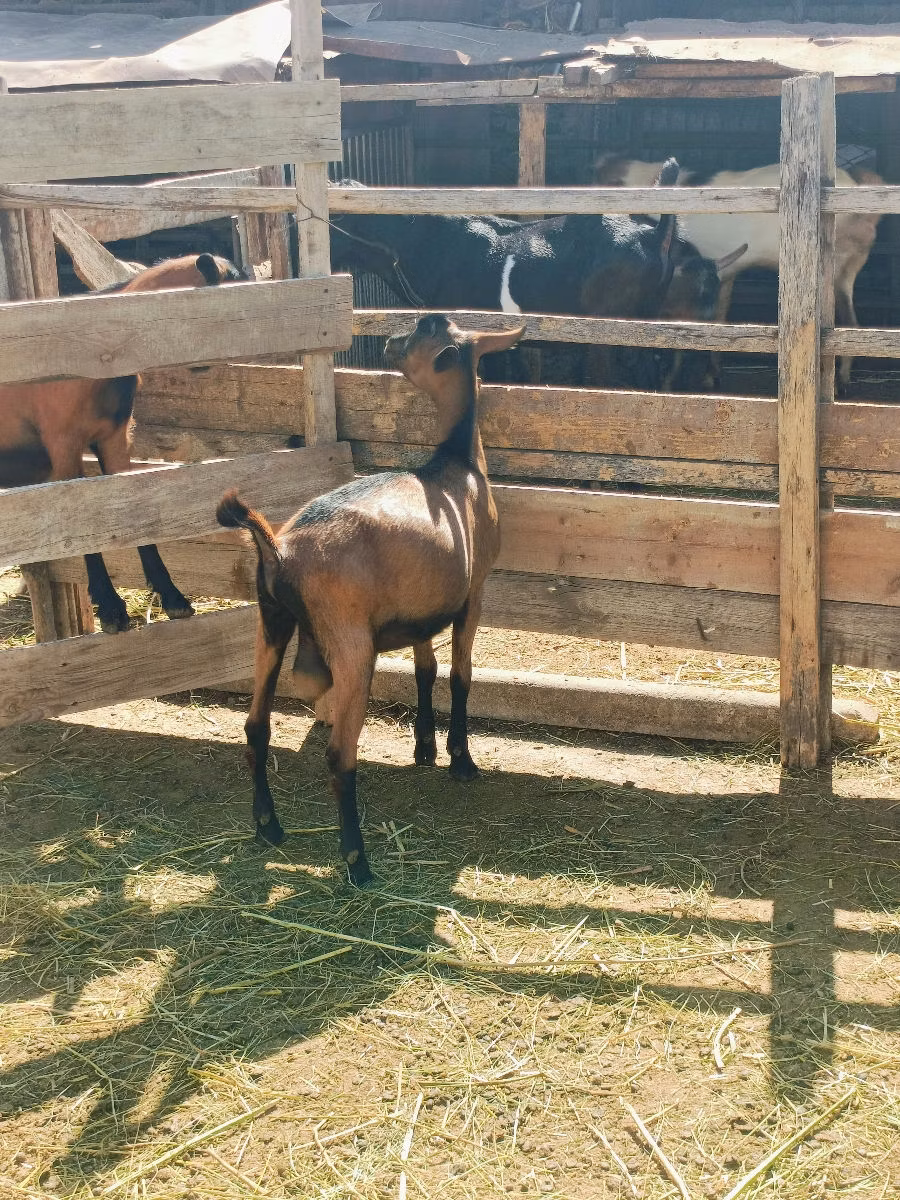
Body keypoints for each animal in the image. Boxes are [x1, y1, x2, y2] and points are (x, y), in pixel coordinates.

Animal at [0, 253, 244, 634]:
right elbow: (84, 522)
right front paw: (112, 609)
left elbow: (133, 514)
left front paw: (173, 598)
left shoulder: (114, 440)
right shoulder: (63, 446)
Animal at [217, 314, 525, 886]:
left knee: (255, 728)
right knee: (341, 756)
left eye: (425, 330)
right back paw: (357, 860)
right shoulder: (474, 593)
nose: (387, 342)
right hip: (350, 644)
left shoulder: (422, 610)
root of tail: (280, 549)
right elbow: (460, 675)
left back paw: (268, 826)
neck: (458, 463)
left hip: (270, 624)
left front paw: (424, 747)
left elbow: (426, 670)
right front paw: (460, 758)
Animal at [595, 155, 883, 391]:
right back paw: (843, 381)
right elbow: (720, 316)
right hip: (850, 267)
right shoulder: (724, 274)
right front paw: (712, 377)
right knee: (850, 323)